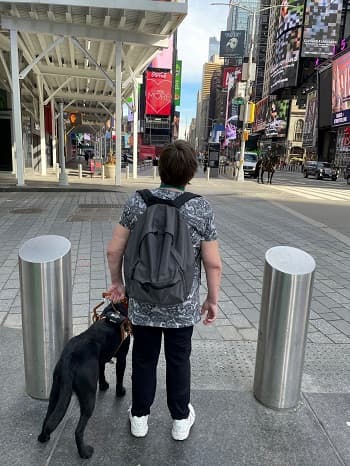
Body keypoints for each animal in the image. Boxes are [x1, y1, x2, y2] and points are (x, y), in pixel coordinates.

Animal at [37, 302, 130, 458]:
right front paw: (120, 392)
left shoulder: (101, 361)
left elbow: (102, 373)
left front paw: (103, 385)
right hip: (88, 397)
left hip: (56, 391)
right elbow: (119, 377)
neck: (116, 309)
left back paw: (44, 437)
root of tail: (69, 359)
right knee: (78, 430)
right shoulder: (122, 357)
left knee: (48, 418)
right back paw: (84, 452)